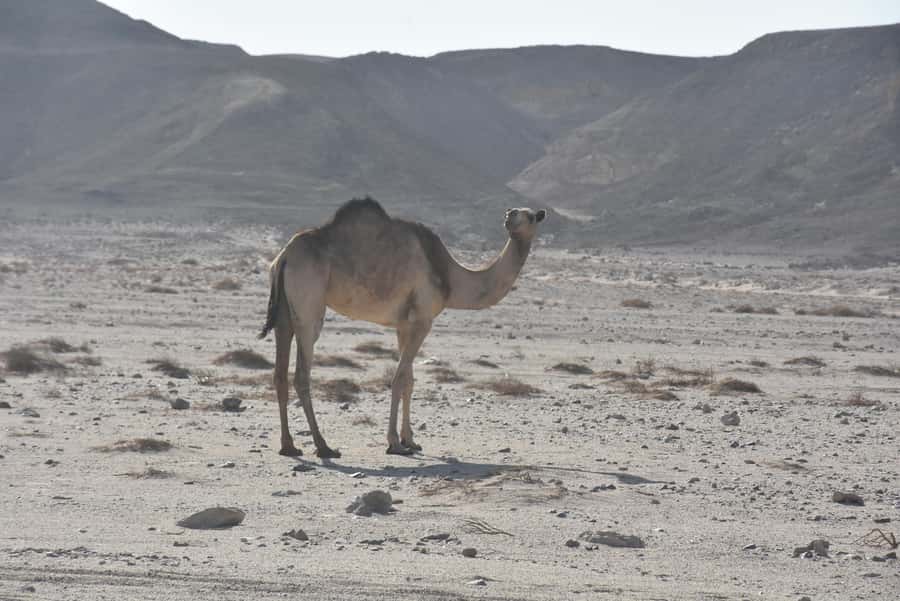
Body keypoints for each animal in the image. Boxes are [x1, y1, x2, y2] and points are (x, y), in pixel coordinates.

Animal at [259, 197, 546, 457]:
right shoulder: (423, 320)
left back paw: (289, 446)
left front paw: (411, 440)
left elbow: (409, 379)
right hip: (309, 306)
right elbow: (398, 379)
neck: (450, 276)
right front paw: (394, 443)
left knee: (280, 372)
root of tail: (283, 257)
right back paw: (323, 446)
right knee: (301, 374)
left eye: (531, 216)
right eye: (522, 213)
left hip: (284, 314)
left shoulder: (403, 325)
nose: (510, 216)